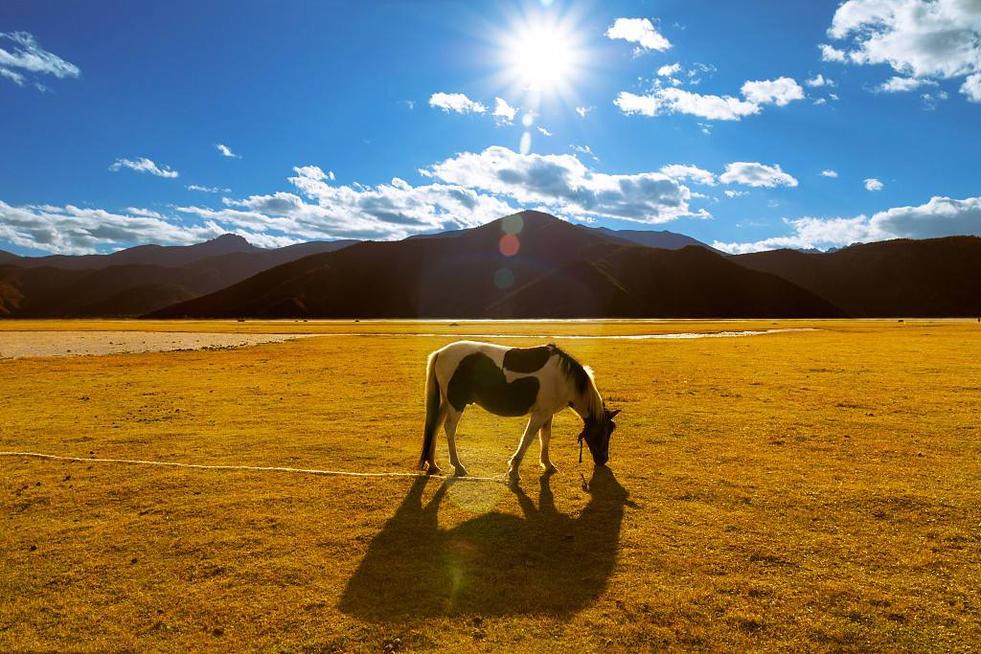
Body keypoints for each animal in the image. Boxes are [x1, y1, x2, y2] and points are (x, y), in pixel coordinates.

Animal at [416, 344, 616, 482]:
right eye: (603, 432)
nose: (603, 460)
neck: (563, 377)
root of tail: (440, 353)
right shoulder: (540, 414)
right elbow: (527, 438)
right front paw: (514, 470)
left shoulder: (548, 413)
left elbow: (545, 437)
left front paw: (548, 464)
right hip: (456, 404)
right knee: (449, 429)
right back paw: (458, 466)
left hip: (446, 403)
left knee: (435, 427)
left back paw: (432, 465)